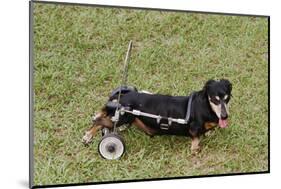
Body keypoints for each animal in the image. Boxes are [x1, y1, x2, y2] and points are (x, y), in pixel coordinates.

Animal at [82, 79, 231, 154]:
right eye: (215, 99)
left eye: (227, 98)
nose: (224, 116)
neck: (205, 105)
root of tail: (122, 98)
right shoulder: (194, 130)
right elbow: (195, 142)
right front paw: (196, 150)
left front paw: (209, 133)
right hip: (124, 117)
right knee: (99, 121)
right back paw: (88, 135)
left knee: (105, 113)